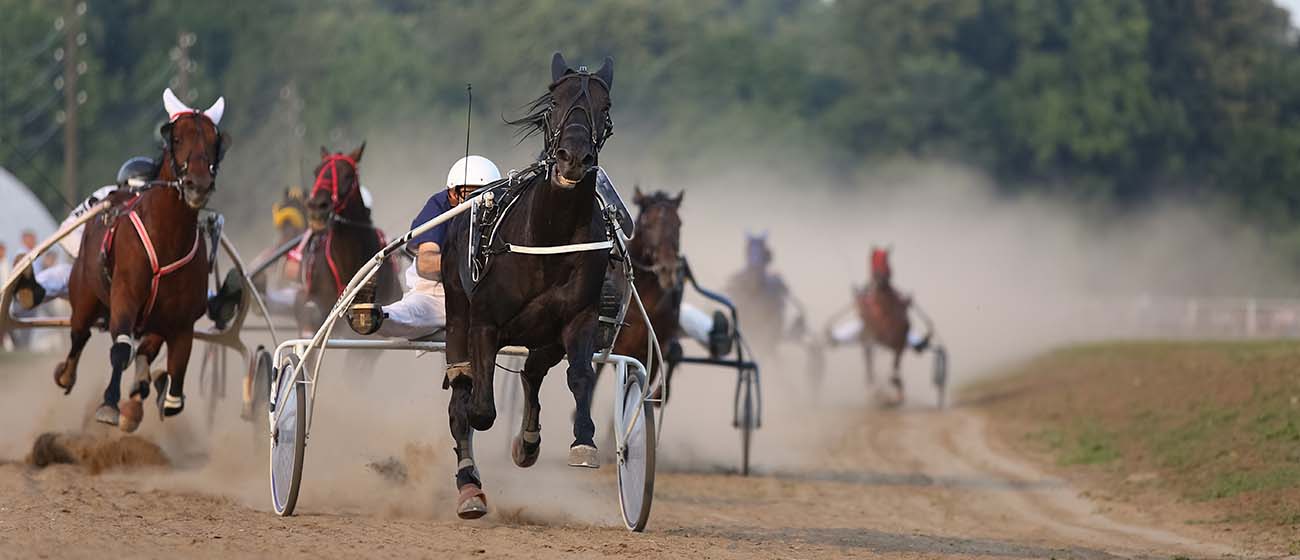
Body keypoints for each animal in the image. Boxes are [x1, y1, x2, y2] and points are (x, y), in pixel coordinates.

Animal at [54, 89, 230, 432]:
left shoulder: (181, 323)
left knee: (147, 349)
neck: (167, 239)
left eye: (214, 140)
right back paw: (67, 374)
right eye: (176, 138)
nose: (198, 184)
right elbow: (121, 348)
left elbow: (174, 384)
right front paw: (109, 405)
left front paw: (158, 391)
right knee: (79, 335)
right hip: (84, 298)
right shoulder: (125, 297)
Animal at [442, 52, 615, 519]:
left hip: (545, 335)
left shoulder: (579, 317)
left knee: (534, 370)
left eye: (604, 108)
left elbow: (580, 376)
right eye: (554, 105)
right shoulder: (483, 322)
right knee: (461, 395)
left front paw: (582, 441)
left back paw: (529, 441)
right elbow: (479, 410)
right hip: (455, 310)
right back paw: (469, 487)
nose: (573, 158)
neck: (549, 236)